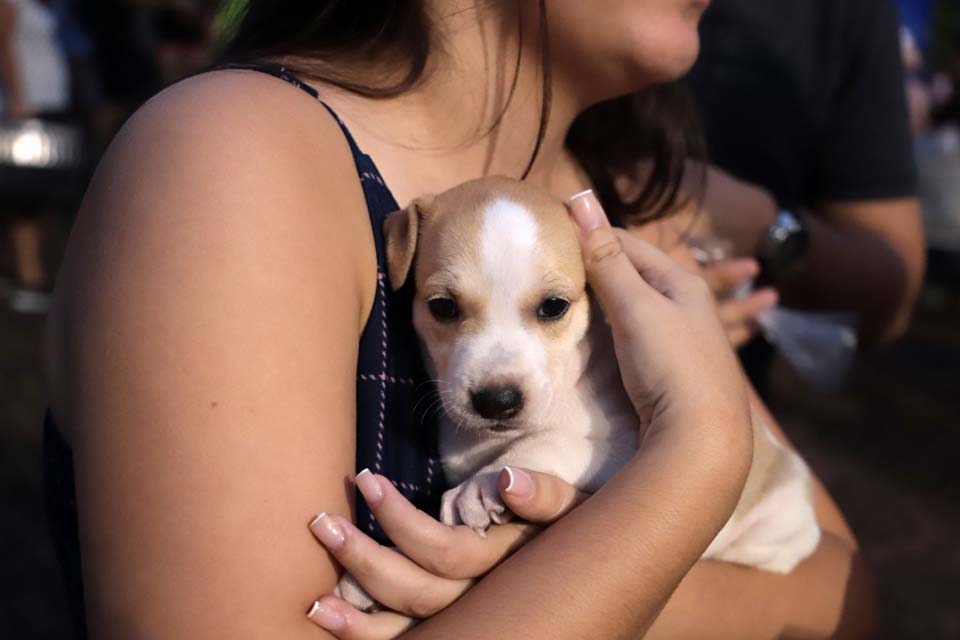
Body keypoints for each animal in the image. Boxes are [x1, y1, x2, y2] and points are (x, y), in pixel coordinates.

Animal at [382, 176, 816, 576]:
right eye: (443, 307)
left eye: (553, 306)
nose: (497, 401)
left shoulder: (630, 449)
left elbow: (552, 442)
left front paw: (483, 482)